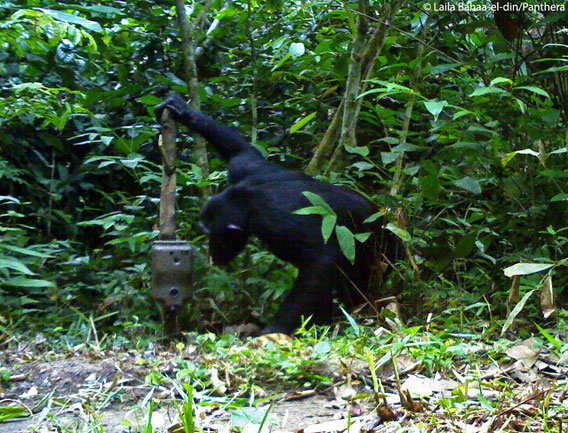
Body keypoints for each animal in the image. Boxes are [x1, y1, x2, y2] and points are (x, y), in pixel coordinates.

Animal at [155, 93, 386, 334]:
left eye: (213, 235)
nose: (212, 252)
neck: (248, 203)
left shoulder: (279, 222)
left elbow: (319, 263)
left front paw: (274, 329)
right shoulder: (249, 170)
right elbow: (244, 151)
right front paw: (183, 110)